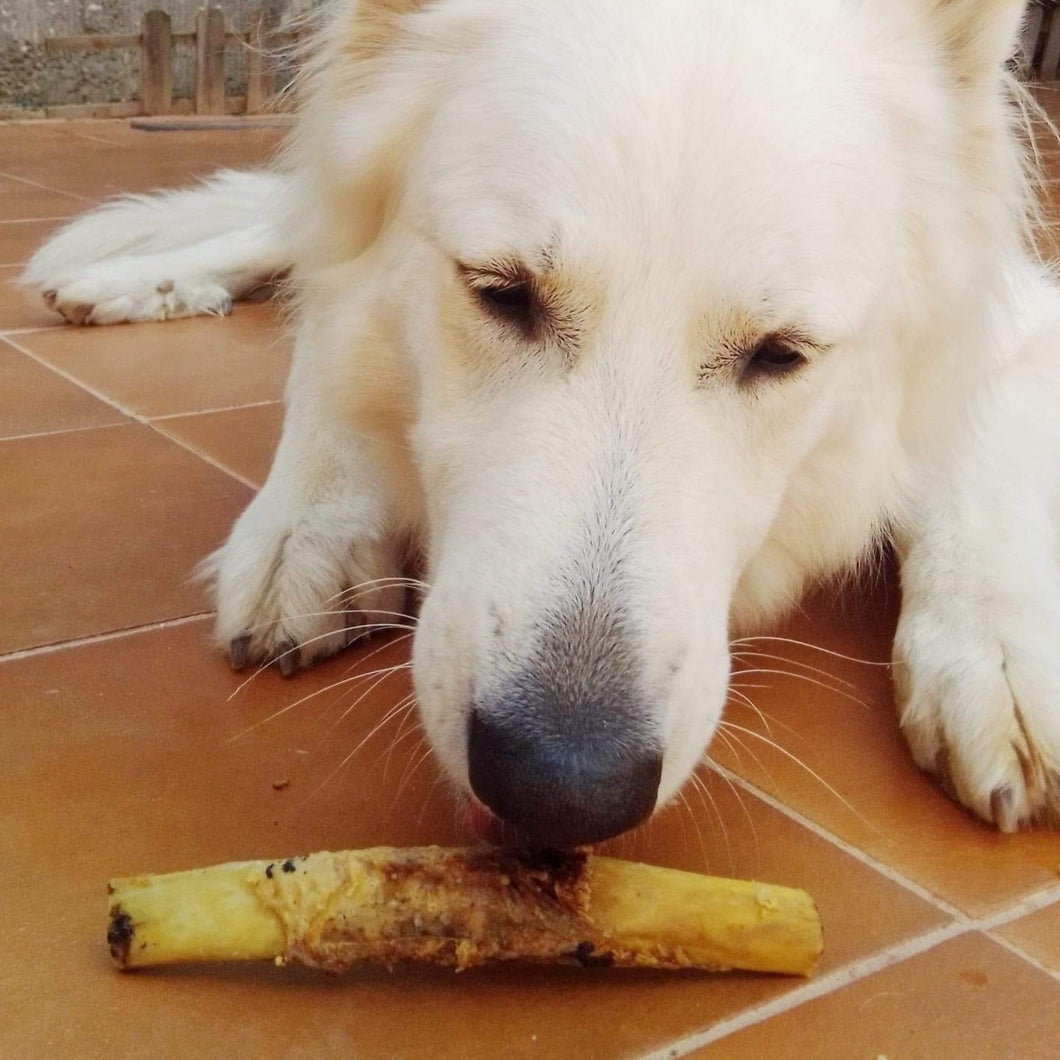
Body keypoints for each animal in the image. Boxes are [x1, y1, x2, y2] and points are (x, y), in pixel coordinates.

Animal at [24, 2, 1060, 843]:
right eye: (501, 293)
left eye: (780, 355)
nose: (565, 789)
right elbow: (329, 347)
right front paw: (312, 512)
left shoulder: (1010, 315)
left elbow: (973, 467)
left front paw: (997, 650)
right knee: (296, 242)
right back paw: (127, 288)